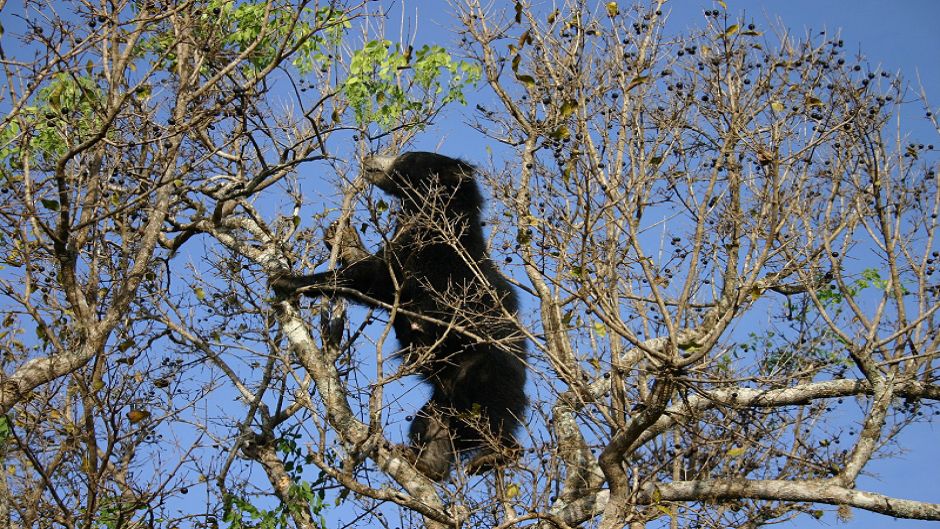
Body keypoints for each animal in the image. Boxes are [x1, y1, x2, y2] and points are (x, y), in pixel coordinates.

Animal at [272, 152, 524, 478]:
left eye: (405, 157)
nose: (369, 158)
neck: (429, 211)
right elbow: (376, 273)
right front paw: (345, 237)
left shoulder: (427, 249)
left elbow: (374, 278)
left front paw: (287, 280)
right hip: (443, 399)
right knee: (432, 423)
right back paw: (424, 462)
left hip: (485, 369)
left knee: (494, 415)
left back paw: (496, 454)